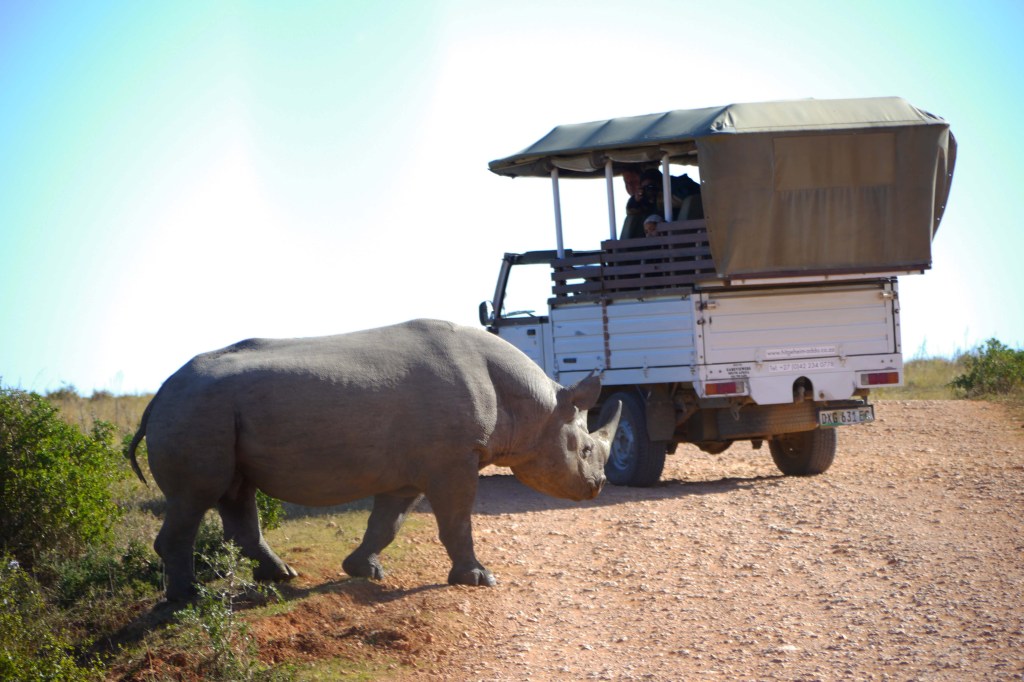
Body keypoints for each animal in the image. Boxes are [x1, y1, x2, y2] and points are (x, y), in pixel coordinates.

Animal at [127, 318, 621, 601]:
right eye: (585, 449)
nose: (596, 487)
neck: (535, 406)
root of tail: (159, 394)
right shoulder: (453, 459)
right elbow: (457, 520)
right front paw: (479, 579)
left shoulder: (413, 469)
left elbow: (389, 522)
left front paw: (363, 570)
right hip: (196, 410)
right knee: (198, 495)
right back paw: (189, 600)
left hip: (208, 409)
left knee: (235, 491)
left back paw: (280, 576)